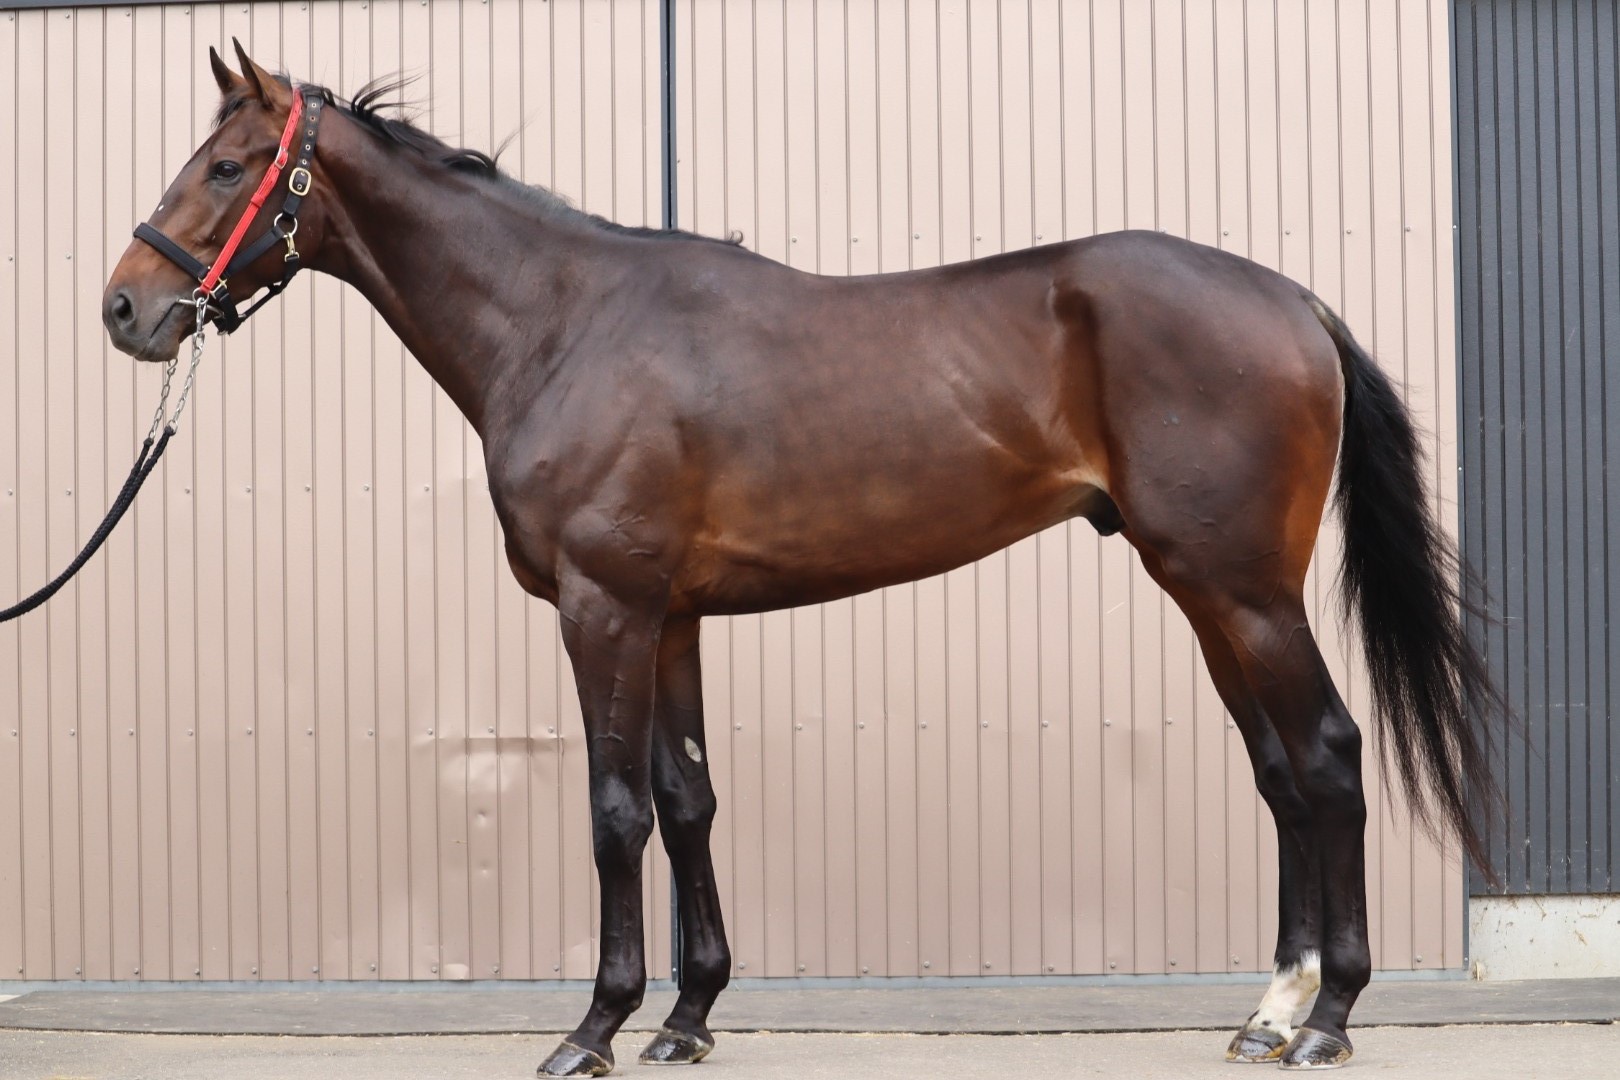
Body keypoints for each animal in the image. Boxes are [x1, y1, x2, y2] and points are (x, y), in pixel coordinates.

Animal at [101, 43, 1496, 1076]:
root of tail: (1291, 301)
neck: (564, 323)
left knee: (1327, 758)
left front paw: (594, 1027)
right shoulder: (668, 616)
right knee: (1279, 773)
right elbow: (688, 800)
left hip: (1241, 592)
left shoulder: (602, 610)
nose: (125, 309)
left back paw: (1327, 1021)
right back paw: (1268, 1012)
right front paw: (686, 1019)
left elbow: (615, 811)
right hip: (1208, 596)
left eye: (228, 166)